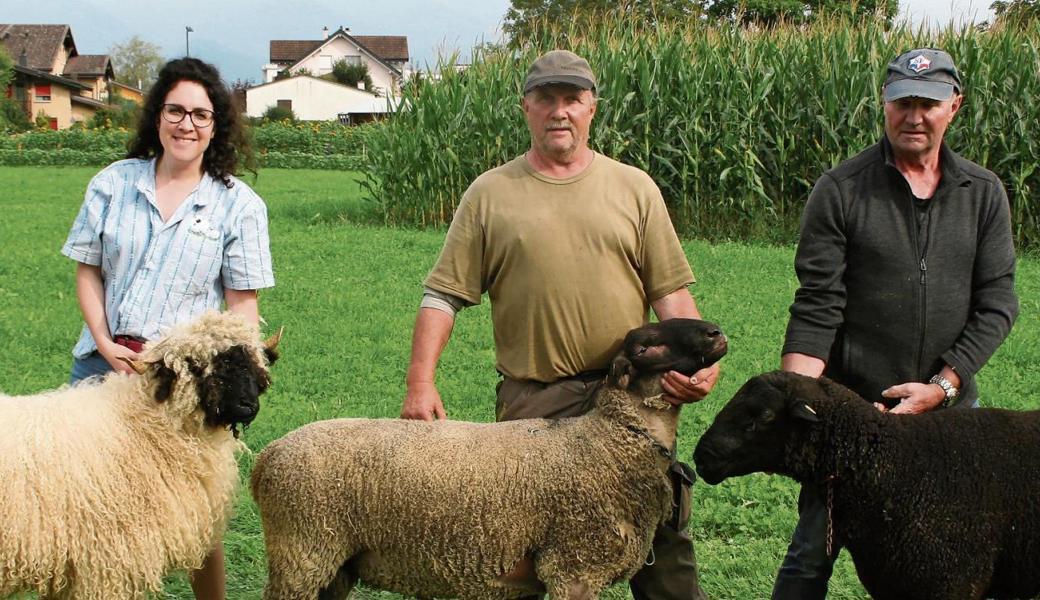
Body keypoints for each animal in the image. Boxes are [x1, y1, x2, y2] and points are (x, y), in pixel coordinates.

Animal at [250, 316, 728, 594]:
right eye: (646, 346)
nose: (716, 333)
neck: (610, 438)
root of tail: (266, 458)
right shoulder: (572, 566)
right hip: (304, 550)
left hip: (335, 563)